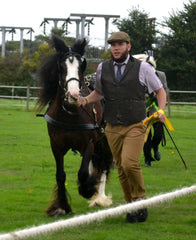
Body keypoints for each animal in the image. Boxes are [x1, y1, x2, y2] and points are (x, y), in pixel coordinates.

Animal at [36, 34, 113, 217]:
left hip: (106, 139)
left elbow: (83, 172)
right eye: (61, 66)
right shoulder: (56, 146)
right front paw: (61, 206)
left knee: (105, 163)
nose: (73, 95)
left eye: (81, 66)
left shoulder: (89, 143)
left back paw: (100, 197)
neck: (70, 112)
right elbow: (60, 175)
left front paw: (87, 189)